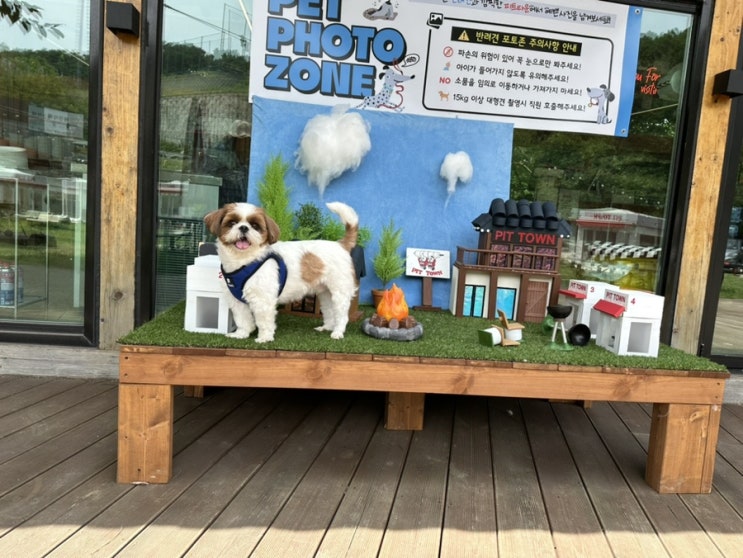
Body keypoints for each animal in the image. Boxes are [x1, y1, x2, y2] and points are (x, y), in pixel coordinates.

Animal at [204, 201, 359, 343]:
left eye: (255, 226)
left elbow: (264, 321)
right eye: (232, 222)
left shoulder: (263, 300)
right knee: (329, 311)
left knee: (342, 315)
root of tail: (340, 245)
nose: (243, 227)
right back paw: (326, 327)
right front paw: (241, 334)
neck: (245, 261)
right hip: (326, 293)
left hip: (340, 291)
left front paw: (264, 338)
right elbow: (243, 319)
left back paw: (338, 332)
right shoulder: (237, 301)